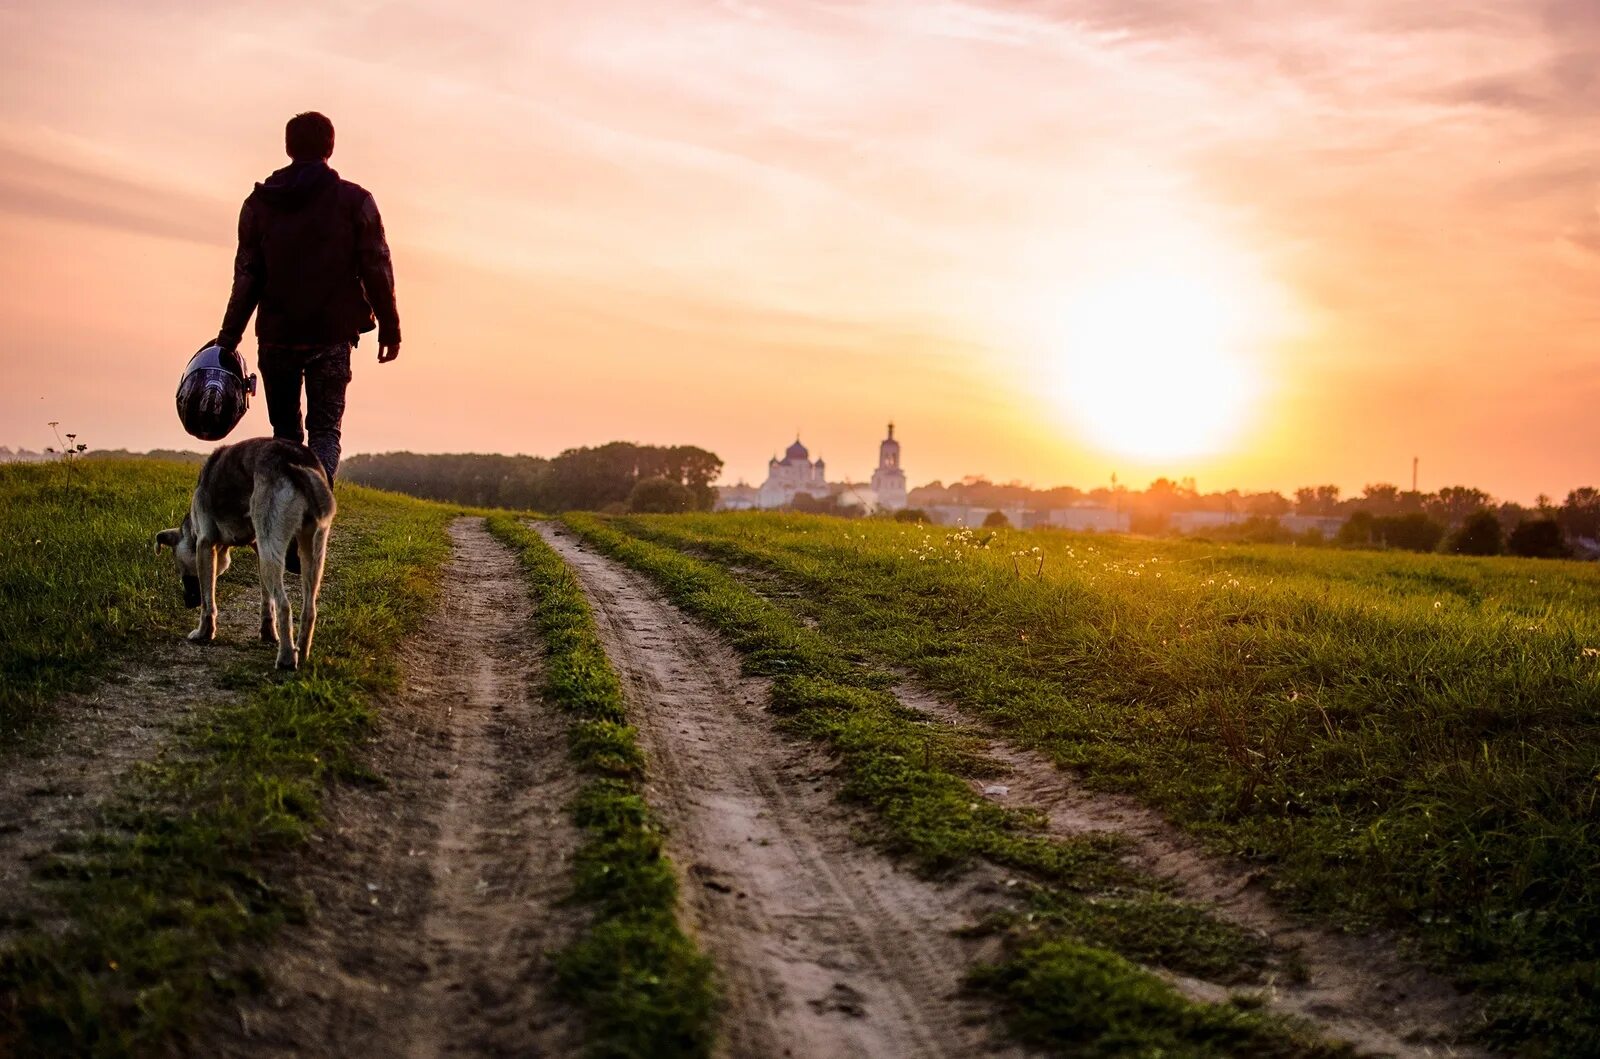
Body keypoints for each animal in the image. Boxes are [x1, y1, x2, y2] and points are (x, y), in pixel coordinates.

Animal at [154, 438, 336, 671]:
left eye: (179, 567)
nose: (187, 602)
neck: (191, 530)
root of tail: (296, 462)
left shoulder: (205, 543)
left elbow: (207, 599)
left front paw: (205, 632)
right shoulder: (257, 547)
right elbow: (266, 599)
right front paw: (268, 633)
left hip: (271, 549)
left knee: (284, 605)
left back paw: (286, 658)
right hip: (312, 549)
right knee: (309, 609)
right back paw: (302, 654)